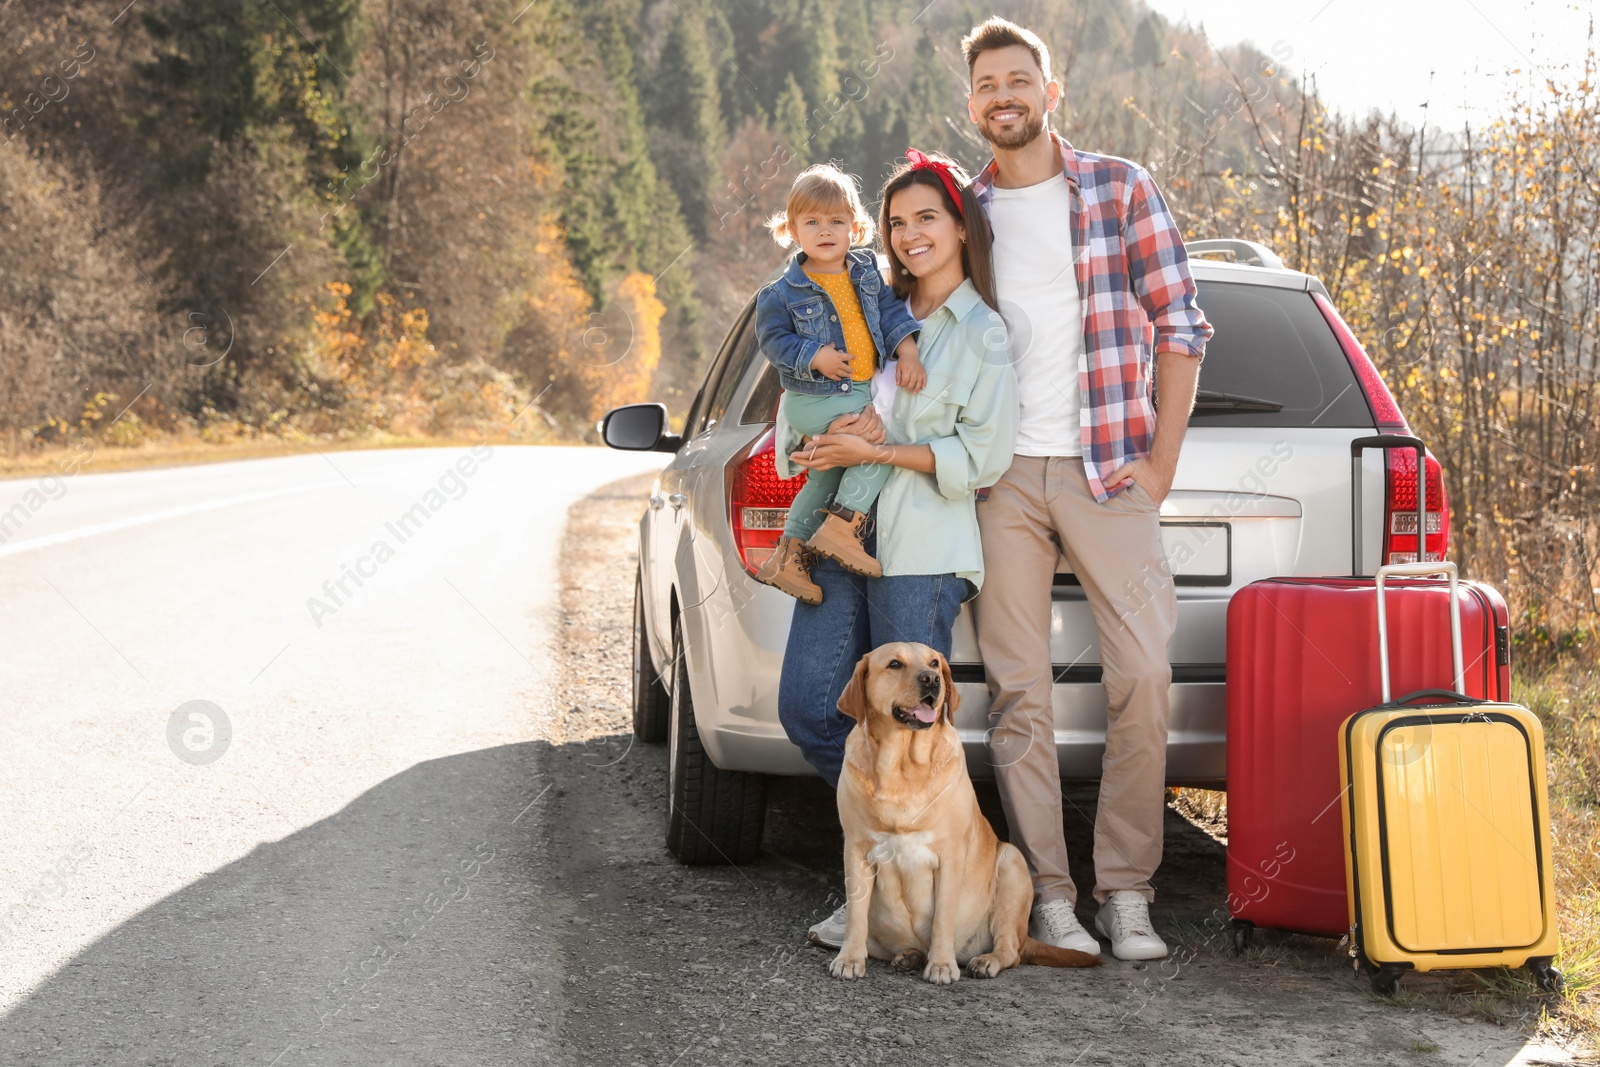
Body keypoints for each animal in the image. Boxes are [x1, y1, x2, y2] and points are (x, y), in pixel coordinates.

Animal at [825, 643, 1100, 985]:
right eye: (894, 664)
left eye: (933, 663)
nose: (931, 679)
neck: (901, 768)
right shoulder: (856, 850)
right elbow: (856, 916)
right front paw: (849, 958)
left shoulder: (950, 856)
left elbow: (943, 918)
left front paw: (942, 965)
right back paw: (908, 955)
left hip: (1012, 865)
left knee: (1011, 950)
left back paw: (985, 960)